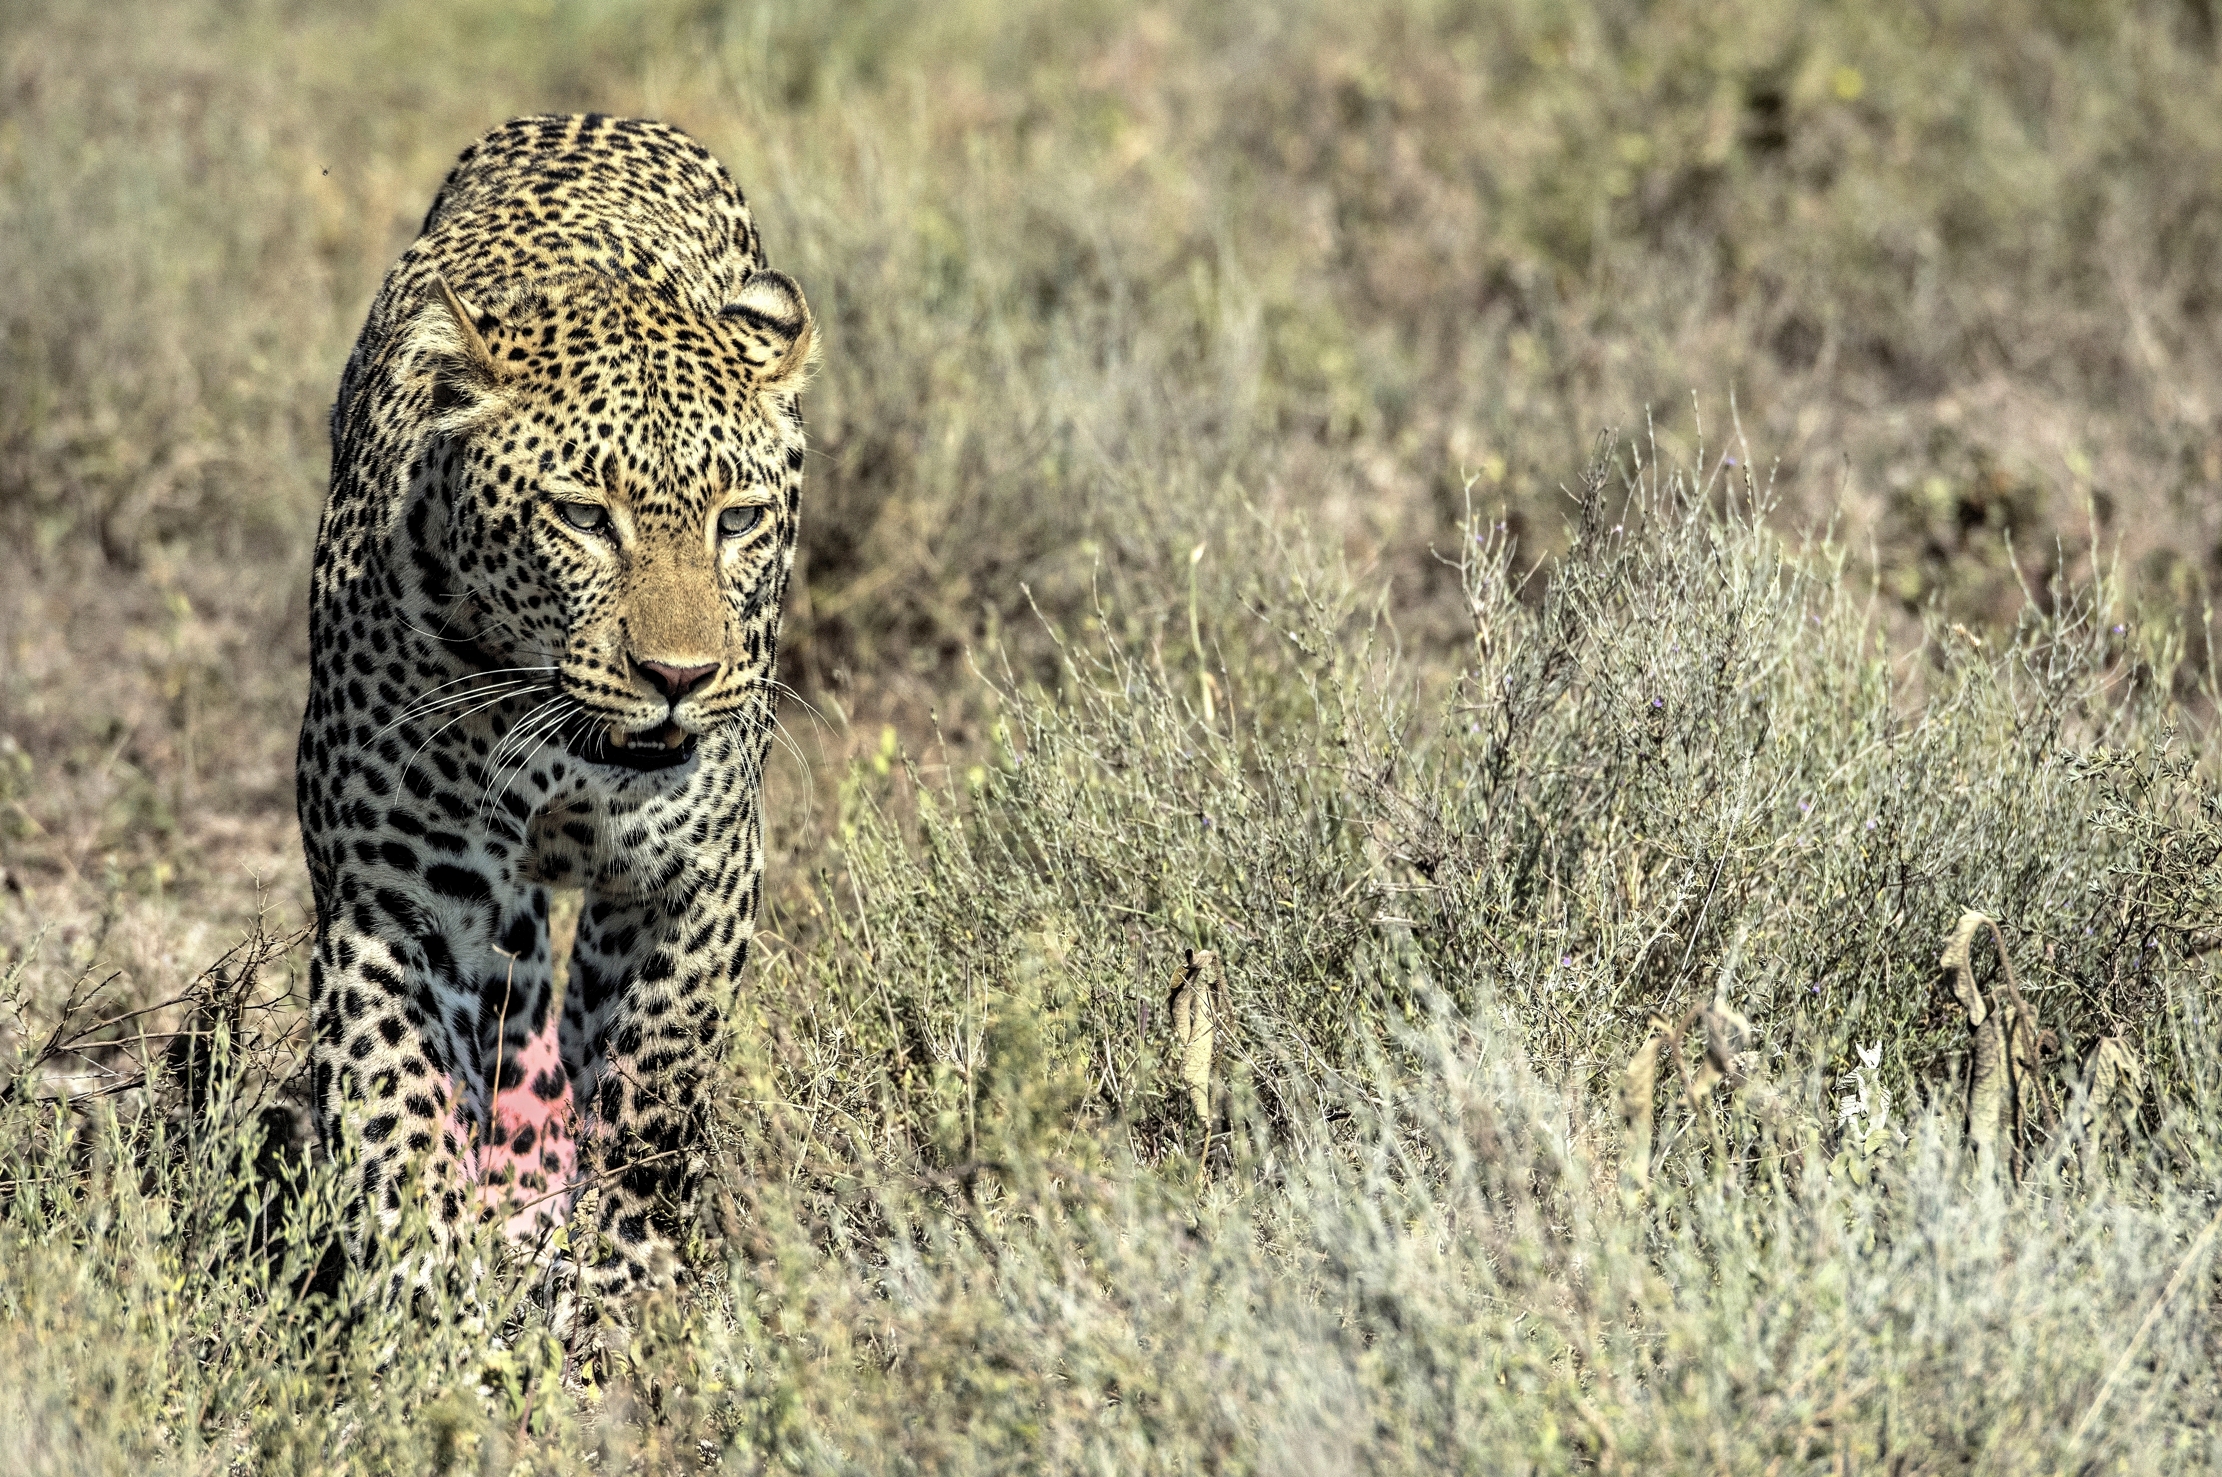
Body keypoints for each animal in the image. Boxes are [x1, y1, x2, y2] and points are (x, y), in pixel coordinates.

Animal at [297, 113, 813, 1302]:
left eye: (738, 519)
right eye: (581, 517)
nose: (679, 675)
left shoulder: (702, 872)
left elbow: (651, 1084)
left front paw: (622, 1280)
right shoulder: (399, 900)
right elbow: (395, 1113)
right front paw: (430, 1301)